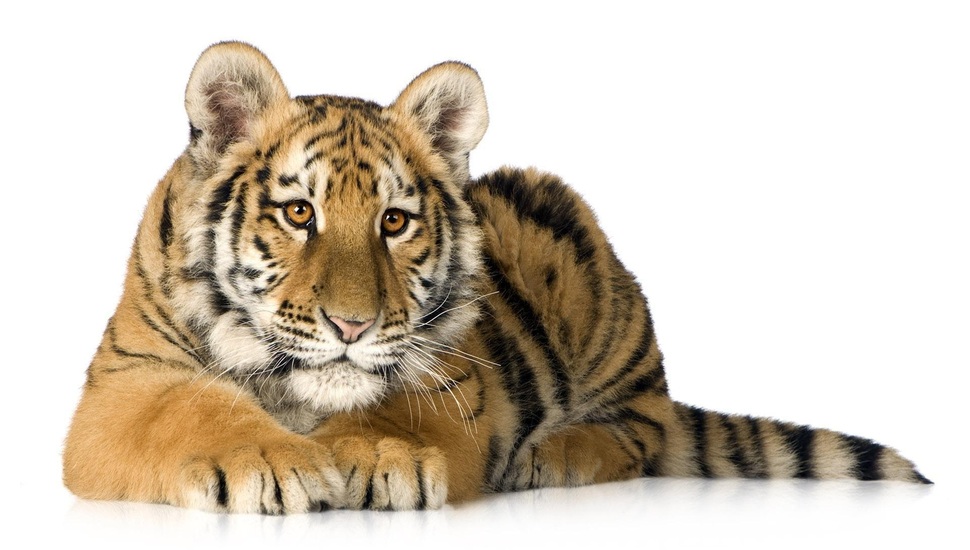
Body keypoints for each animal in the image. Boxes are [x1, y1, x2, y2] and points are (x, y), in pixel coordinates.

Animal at [62, 41, 929, 514]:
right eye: (299, 213)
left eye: (394, 222)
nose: (352, 326)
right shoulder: (123, 385)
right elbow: (191, 409)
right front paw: (272, 461)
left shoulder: (456, 377)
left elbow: (396, 407)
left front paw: (374, 456)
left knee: (645, 427)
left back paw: (557, 454)